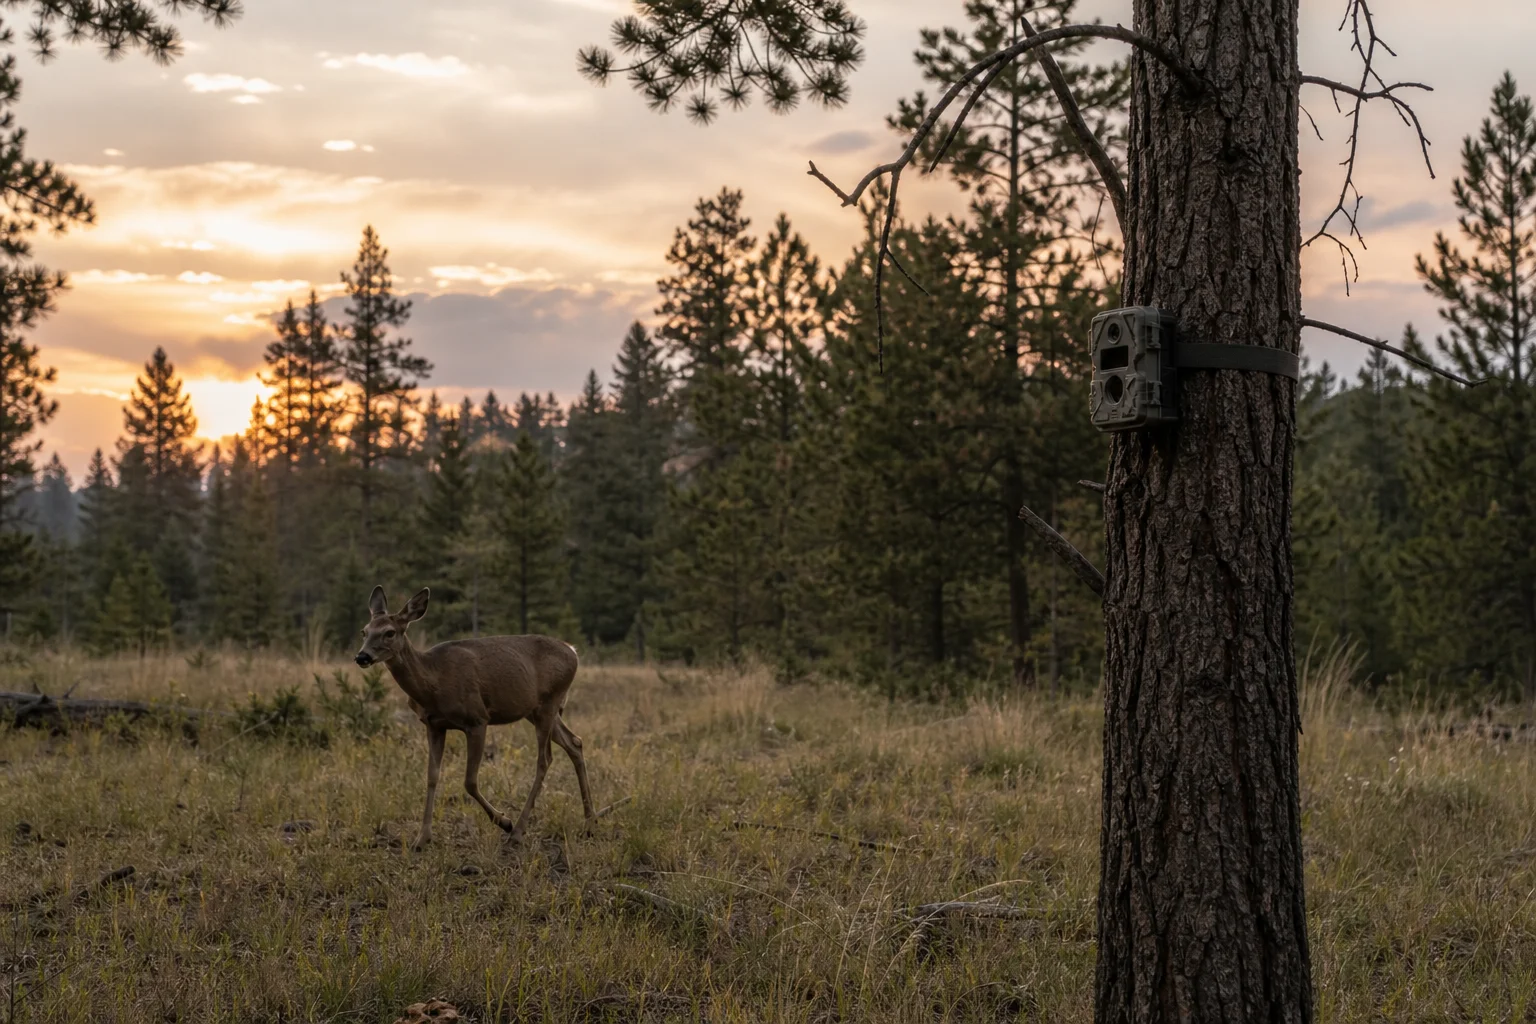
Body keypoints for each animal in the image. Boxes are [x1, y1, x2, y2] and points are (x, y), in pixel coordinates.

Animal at [353, 585, 594, 850]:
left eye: (389, 632)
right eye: (364, 631)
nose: (362, 657)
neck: (433, 683)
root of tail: (573, 651)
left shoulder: (477, 719)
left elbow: (469, 781)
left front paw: (504, 821)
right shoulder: (433, 725)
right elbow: (432, 777)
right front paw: (422, 838)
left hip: (549, 703)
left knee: (545, 759)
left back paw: (518, 831)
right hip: (536, 709)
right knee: (574, 742)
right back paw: (590, 823)